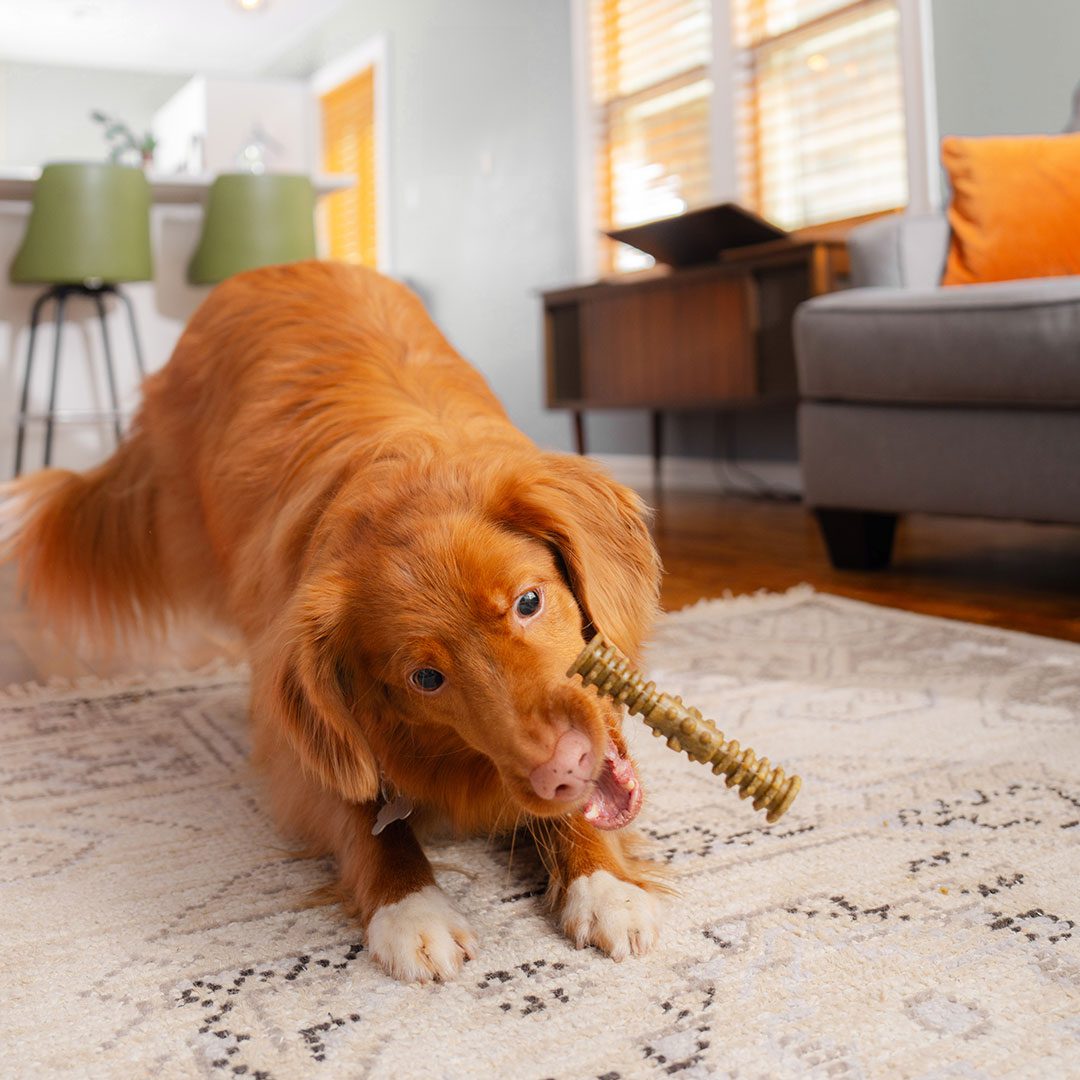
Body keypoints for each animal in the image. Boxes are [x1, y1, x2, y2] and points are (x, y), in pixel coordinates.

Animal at [2, 259, 665, 980]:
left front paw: (603, 884)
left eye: (529, 602)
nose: (562, 768)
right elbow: (363, 814)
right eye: (425, 678)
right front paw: (411, 907)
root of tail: (273, 267)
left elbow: (584, 809)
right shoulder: (303, 738)